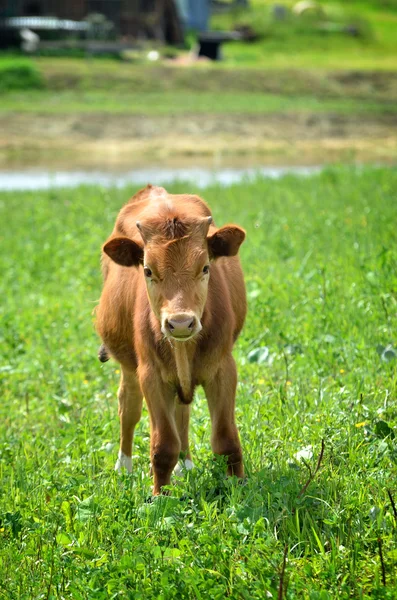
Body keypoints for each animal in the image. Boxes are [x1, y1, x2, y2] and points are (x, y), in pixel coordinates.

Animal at [95, 185, 244, 494]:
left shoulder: (223, 368)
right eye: (148, 270)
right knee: (128, 408)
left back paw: (185, 467)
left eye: (205, 268)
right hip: (129, 367)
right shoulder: (151, 374)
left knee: (181, 415)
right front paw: (160, 496)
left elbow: (225, 439)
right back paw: (124, 468)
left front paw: (240, 487)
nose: (180, 322)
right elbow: (163, 445)